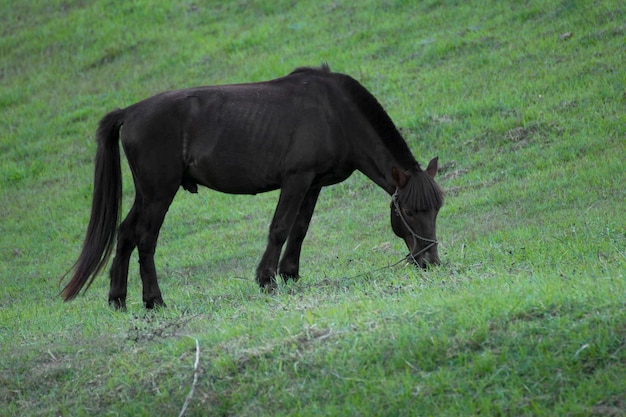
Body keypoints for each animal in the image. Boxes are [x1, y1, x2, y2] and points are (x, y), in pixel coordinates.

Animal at [61, 63, 442, 308]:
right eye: (408, 212)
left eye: (437, 209)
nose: (430, 261)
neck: (335, 113)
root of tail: (130, 111)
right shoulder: (296, 179)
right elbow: (280, 228)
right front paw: (267, 279)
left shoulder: (313, 184)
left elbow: (299, 229)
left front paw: (289, 274)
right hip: (159, 193)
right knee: (144, 238)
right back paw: (153, 300)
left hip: (146, 193)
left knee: (125, 233)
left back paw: (118, 299)